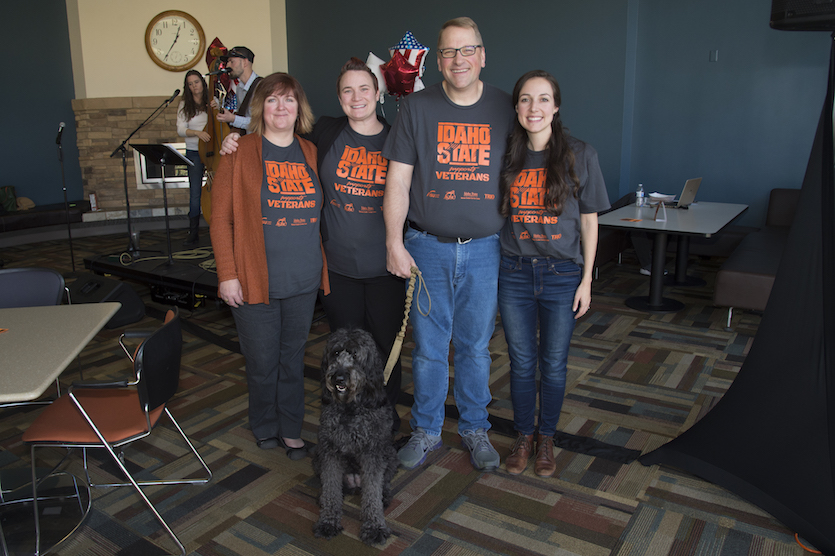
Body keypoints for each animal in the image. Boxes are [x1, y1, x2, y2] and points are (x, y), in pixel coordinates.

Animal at [314, 328, 398, 544]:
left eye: (354, 354)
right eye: (335, 352)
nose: (338, 377)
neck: (349, 408)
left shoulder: (373, 453)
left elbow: (372, 492)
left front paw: (374, 526)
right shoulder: (330, 451)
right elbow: (331, 488)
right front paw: (328, 521)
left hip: (390, 454)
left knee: (383, 483)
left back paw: (385, 495)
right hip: (316, 454)